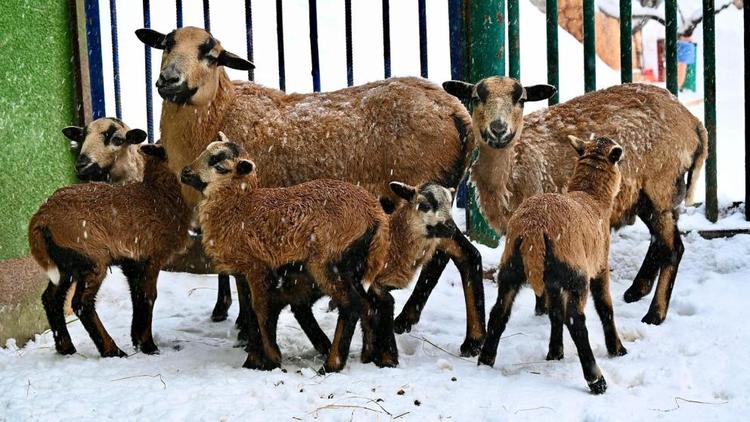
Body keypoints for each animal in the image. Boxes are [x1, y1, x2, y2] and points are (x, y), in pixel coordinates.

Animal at [28, 143, 194, 358]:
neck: (159, 195)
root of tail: (40, 221)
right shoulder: (151, 257)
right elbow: (148, 297)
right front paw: (149, 346)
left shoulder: (133, 262)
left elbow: (137, 297)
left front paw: (138, 341)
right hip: (91, 257)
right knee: (81, 303)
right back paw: (112, 350)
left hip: (64, 264)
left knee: (51, 298)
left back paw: (66, 348)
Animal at [181, 140, 390, 370]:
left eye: (219, 165)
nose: (185, 172)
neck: (239, 206)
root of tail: (376, 216)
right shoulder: (242, 271)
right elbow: (249, 310)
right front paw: (254, 358)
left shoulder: (258, 267)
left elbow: (260, 308)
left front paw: (269, 358)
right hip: (355, 266)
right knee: (369, 305)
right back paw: (370, 355)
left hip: (327, 261)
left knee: (351, 304)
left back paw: (331, 365)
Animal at [446, 77, 712, 324]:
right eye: (476, 97)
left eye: (520, 99)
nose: (499, 129)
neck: (510, 172)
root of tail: (693, 122)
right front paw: (540, 310)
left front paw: (544, 312)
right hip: (647, 195)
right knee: (660, 241)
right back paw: (636, 291)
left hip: (661, 184)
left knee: (673, 248)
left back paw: (654, 314)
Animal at [478, 136, 632, 396]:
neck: (592, 197)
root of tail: (533, 229)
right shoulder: (599, 266)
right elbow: (605, 307)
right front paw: (617, 349)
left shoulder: (551, 282)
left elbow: (554, 313)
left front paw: (555, 352)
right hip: (576, 274)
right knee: (576, 321)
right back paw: (596, 380)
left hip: (511, 267)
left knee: (499, 312)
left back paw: (485, 360)